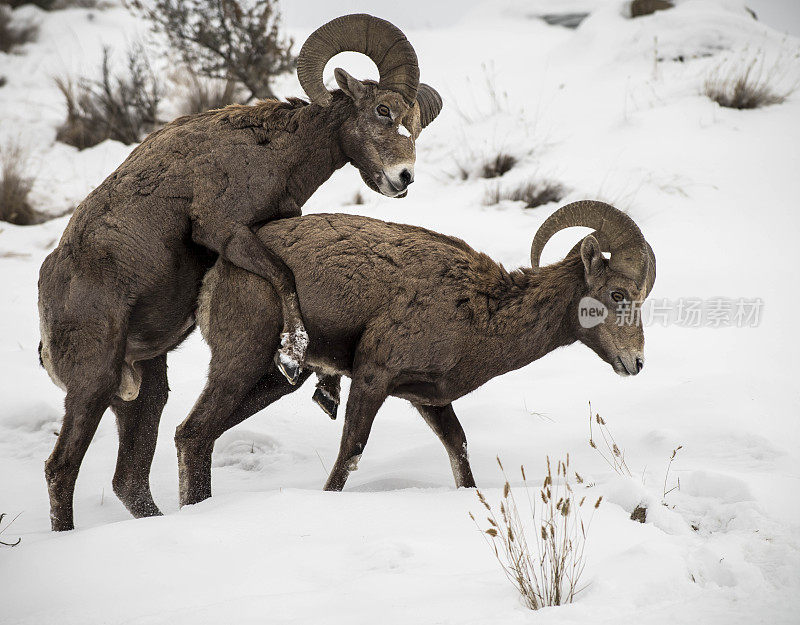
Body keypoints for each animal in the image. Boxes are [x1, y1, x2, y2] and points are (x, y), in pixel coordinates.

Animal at [36, 14, 444, 528]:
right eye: (383, 111)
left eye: (412, 122)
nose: (403, 178)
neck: (277, 151)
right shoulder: (224, 230)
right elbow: (284, 276)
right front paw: (293, 356)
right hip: (91, 387)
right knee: (61, 468)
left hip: (144, 390)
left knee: (129, 480)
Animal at [177, 200, 656, 502]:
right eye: (617, 293)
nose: (635, 364)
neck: (482, 311)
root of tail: (216, 273)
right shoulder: (373, 378)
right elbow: (349, 455)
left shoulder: (431, 400)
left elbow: (459, 451)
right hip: (240, 363)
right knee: (192, 432)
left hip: (276, 380)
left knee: (201, 435)